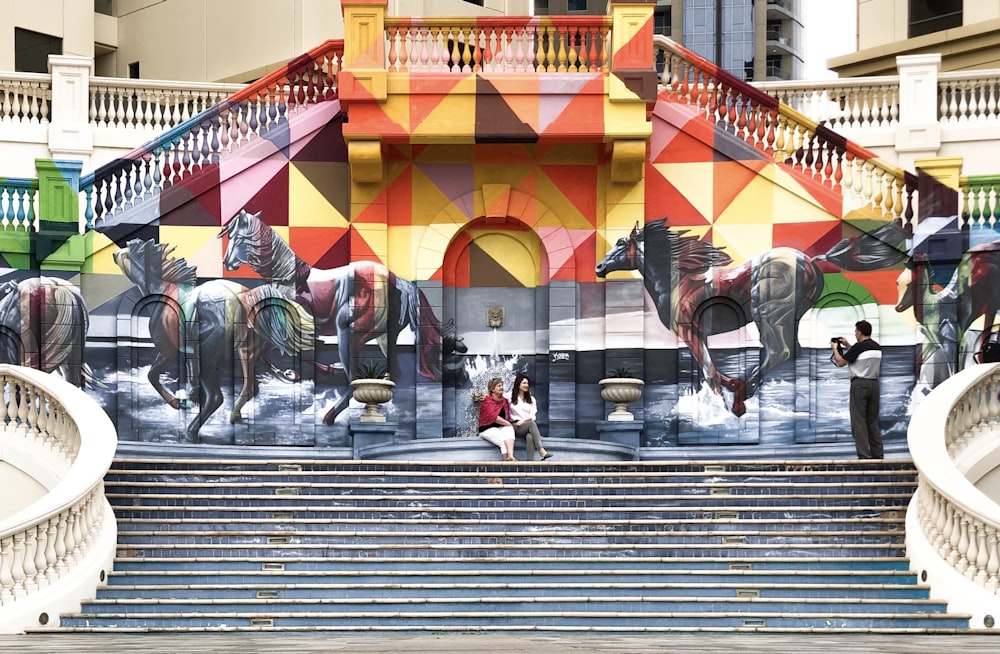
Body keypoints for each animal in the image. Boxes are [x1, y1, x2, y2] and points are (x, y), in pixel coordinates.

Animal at [112, 238, 312, 444]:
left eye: (127, 254)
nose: (114, 254)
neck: (164, 290)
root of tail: (245, 299)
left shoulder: (168, 351)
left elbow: (152, 375)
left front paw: (178, 403)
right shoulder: (190, 352)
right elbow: (190, 379)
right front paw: (191, 398)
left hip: (210, 358)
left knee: (217, 397)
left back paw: (192, 431)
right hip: (246, 352)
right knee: (250, 387)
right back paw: (233, 415)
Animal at [221, 210, 444, 426]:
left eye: (237, 238)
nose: (226, 262)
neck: (288, 277)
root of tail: (395, 280)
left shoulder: (287, 332)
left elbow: (290, 353)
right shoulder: (283, 335)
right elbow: (274, 354)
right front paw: (290, 374)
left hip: (349, 334)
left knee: (354, 379)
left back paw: (330, 416)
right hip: (383, 337)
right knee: (392, 373)